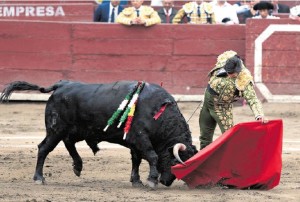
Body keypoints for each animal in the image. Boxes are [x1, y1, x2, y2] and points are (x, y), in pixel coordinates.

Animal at [0, 80, 199, 188]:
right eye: (174, 162)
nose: (166, 182)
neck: (159, 113)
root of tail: (62, 85)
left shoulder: (134, 141)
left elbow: (136, 160)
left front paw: (136, 181)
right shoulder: (140, 137)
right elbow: (152, 156)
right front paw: (151, 180)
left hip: (76, 130)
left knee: (69, 143)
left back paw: (78, 166)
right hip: (55, 129)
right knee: (44, 148)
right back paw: (39, 178)